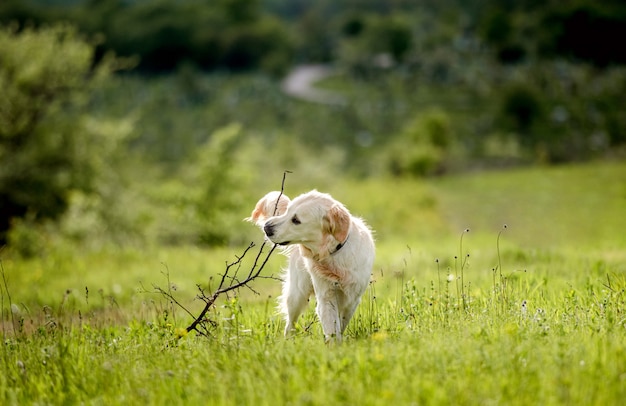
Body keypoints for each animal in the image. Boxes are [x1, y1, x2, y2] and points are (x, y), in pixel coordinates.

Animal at [247, 190, 376, 342]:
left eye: (296, 220)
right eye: (288, 211)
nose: (267, 227)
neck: (333, 252)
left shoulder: (353, 298)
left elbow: (340, 323)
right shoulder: (326, 297)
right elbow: (332, 328)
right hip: (297, 294)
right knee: (290, 324)